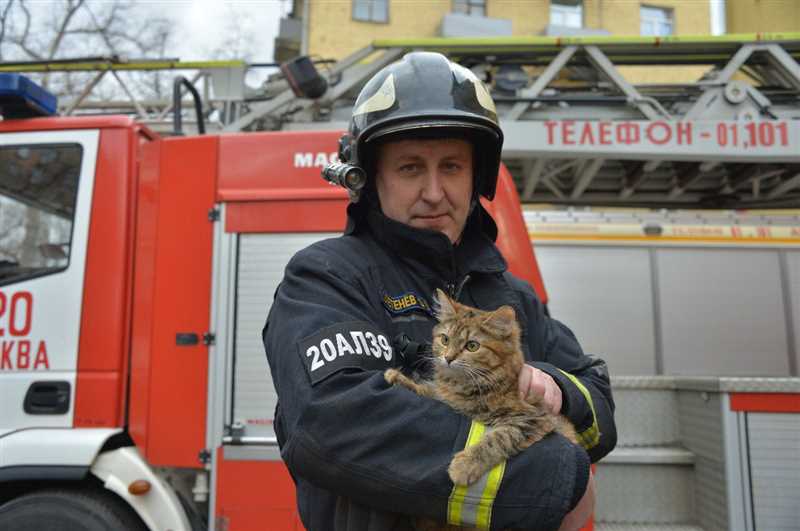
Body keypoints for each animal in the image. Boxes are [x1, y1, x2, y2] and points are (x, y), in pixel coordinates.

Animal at [382, 290, 576, 531]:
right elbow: (428, 391)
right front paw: (398, 378)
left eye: (472, 346)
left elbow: (496, 439)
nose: (448, 358)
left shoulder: (533, 419)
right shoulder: (445, 397)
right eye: (445, 339)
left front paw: (464, 466)